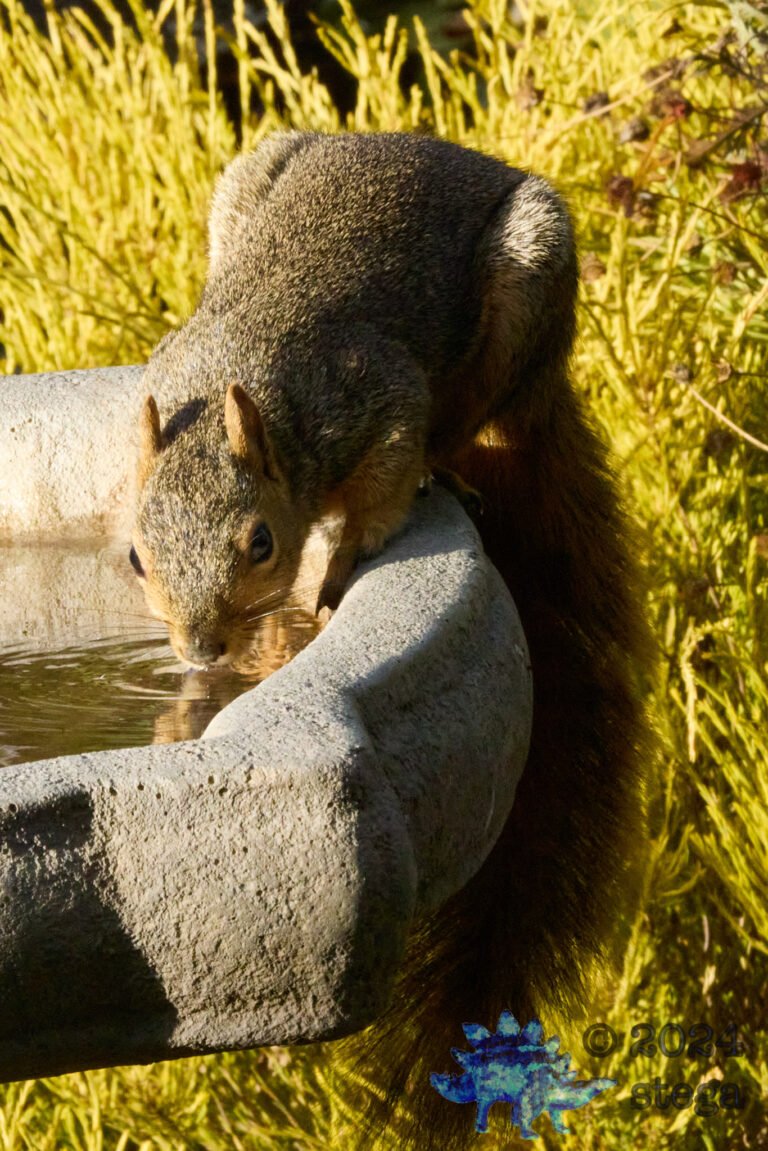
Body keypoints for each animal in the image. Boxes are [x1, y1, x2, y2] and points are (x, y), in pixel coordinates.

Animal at [131, 131, 650, 1148]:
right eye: (134, 557)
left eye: (260, 543)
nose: (202, 650)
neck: (240, 383)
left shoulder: (379, 404)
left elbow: (377, 501)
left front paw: (330, 582)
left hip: (526, 290)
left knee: (473, 421)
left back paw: (459, 464)